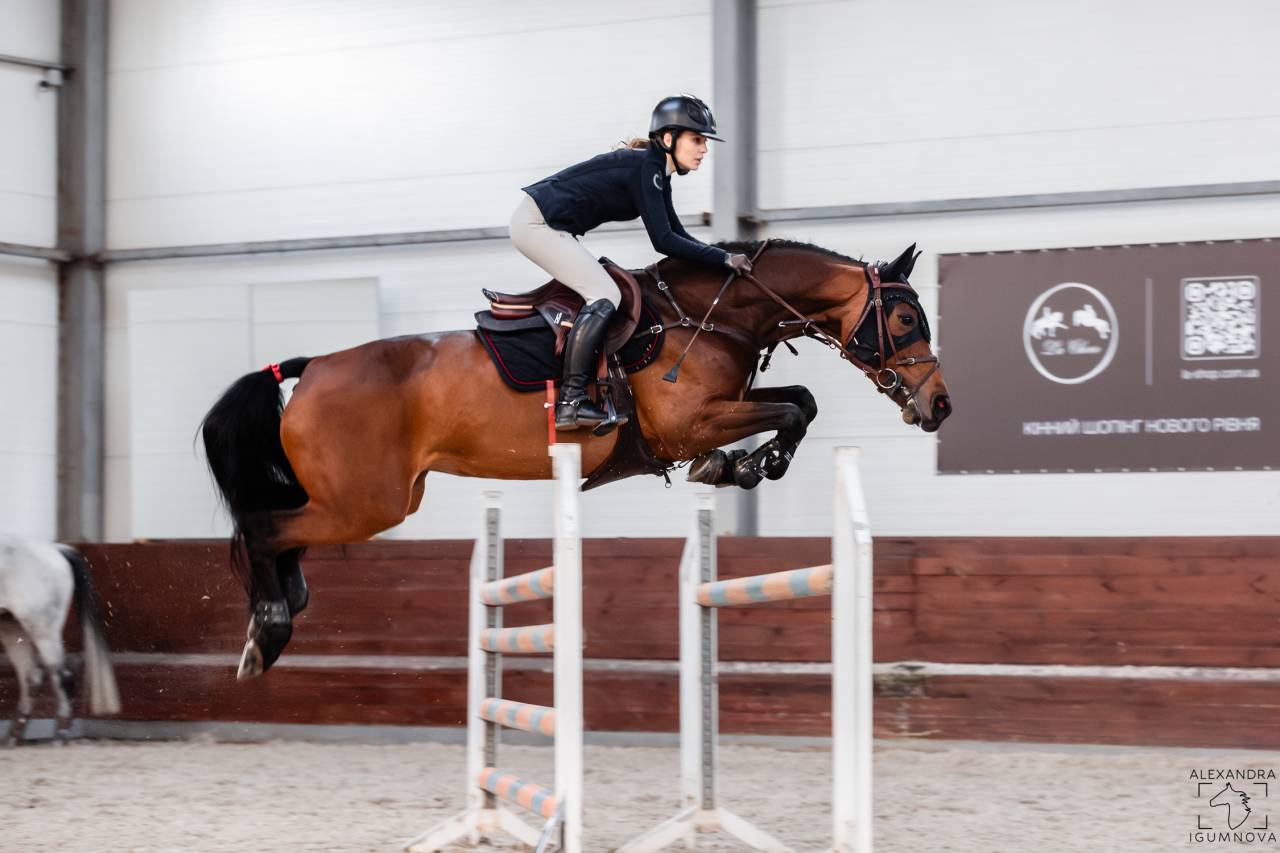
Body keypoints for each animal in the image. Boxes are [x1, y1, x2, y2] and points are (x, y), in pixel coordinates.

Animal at [0, 539, 121, 744]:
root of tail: (56, 549)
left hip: (43, 630)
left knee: (61, 677)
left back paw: (59, 735)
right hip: (11, 628)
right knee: (31, 678)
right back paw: (12, 737)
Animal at [199, 238, 952, 678]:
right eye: (906, 320)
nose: (939, 405)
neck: (713, 313)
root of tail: (310, 368)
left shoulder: (718, 410)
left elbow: (799, 400)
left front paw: (739, 466)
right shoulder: (687, 424)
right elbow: (793, 409)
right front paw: (742, 466)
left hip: (368, 496)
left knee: (282, 532)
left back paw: (276, 615)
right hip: (368, 501)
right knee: (266, 528)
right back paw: (267, 631)